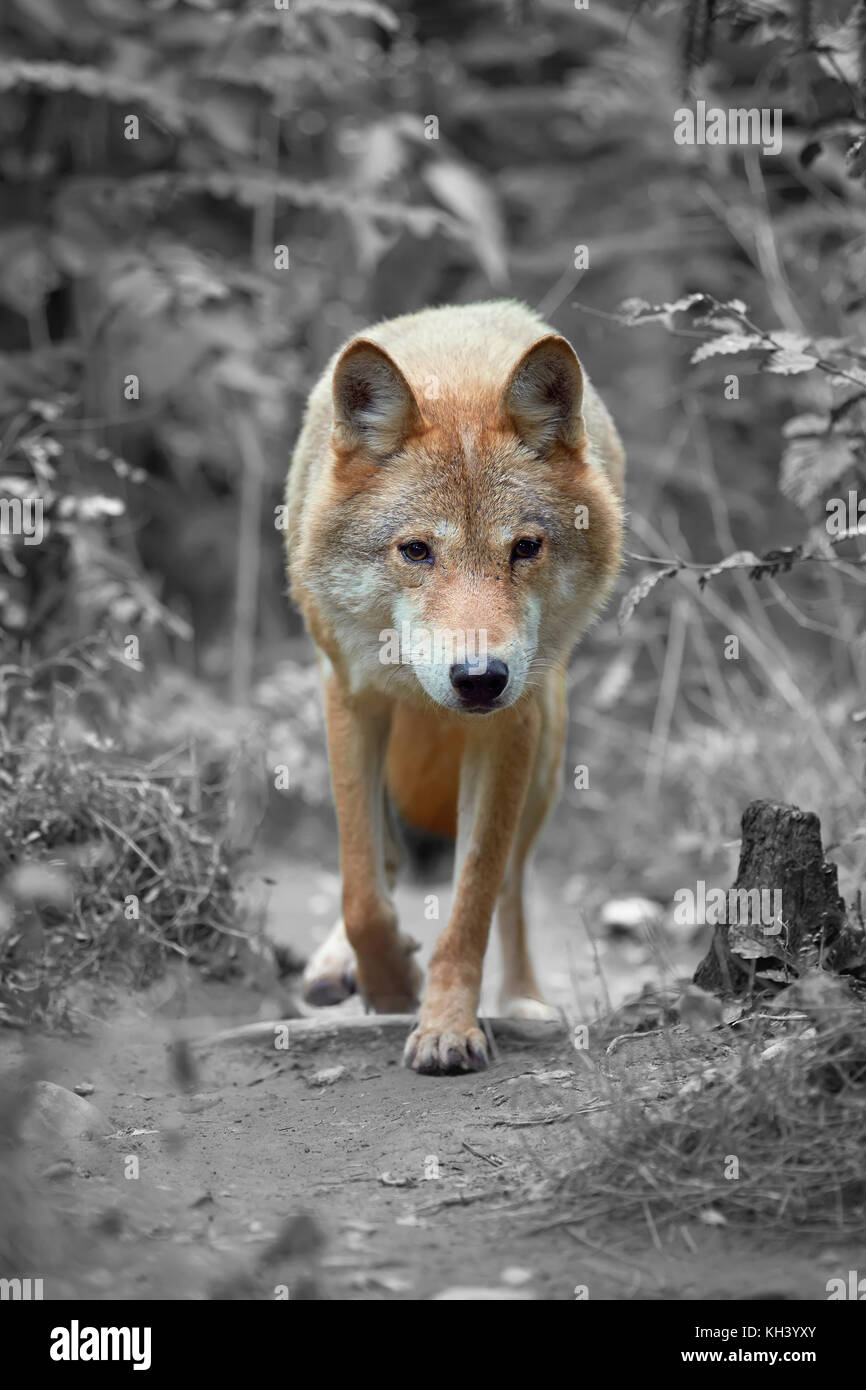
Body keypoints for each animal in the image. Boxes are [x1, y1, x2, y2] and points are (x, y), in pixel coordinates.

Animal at [285, 300, 624, 1073]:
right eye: (417, 550)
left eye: (525, 548)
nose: (478, 679)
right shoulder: (351, 694)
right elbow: (361, 889)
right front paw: (389, 984)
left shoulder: (510, 725)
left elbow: (472, 898)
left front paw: (446, 1025)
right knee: (382, 854)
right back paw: (333, 967)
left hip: (548, 752)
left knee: (514, 884)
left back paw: (523, 1000)